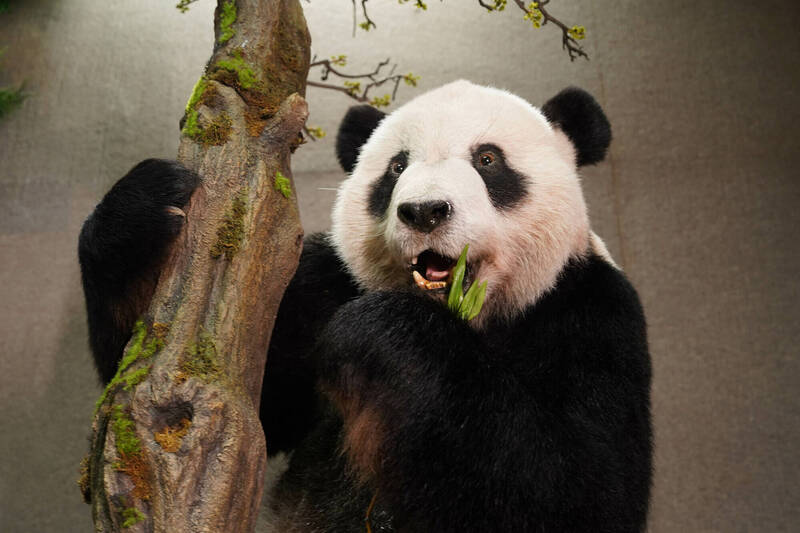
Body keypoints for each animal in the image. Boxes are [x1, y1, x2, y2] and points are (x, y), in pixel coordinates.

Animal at [78, 80, 648, 532]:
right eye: (396, 167)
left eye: (488, 160)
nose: (425, 211)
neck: (465, 314)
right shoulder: (321, 286)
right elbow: (211, 407)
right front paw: (142, 208)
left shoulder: (588, 314)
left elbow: (580, 491)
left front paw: (385, 334)